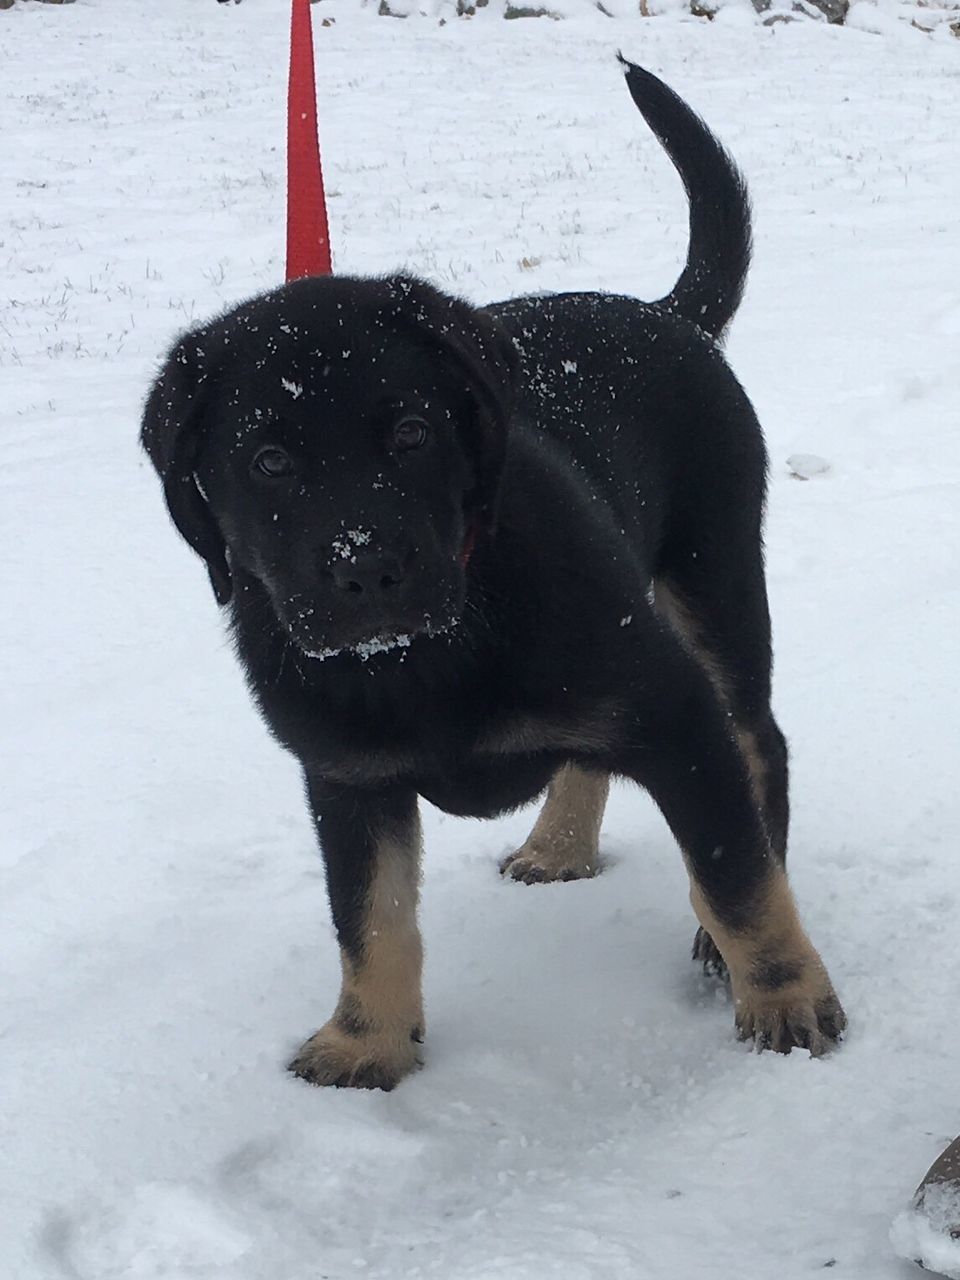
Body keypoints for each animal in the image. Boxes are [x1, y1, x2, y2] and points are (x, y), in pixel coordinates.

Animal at [138, 60, 844, 1090]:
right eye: (267, 462)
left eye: (412, 433)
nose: (367, 571)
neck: (420, 653)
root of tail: (665, 315)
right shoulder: (344, 779)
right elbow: (371, 917)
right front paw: (365, 1041)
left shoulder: (674, 711)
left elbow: (735, 874)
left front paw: (784, 996)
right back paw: (558, 847)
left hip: (711, 583)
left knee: (761, 750)